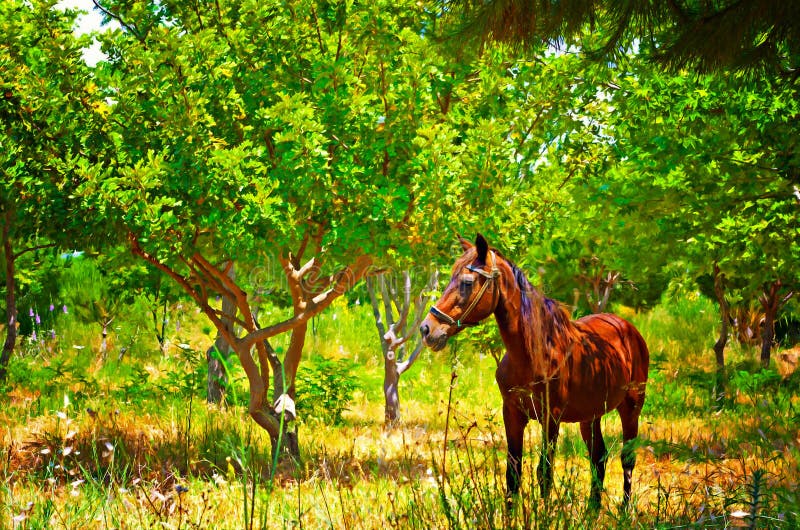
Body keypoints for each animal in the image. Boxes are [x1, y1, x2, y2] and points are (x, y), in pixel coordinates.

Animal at [418, 233, 648, 506]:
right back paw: (592, 510)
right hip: (590, 417)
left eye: (466, 282)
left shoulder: (551, 418)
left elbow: (544, 472)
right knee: (599, 459)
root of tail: (629, 329)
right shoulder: (512, 414)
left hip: (631, 407)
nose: (427, 329)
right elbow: (513, 474)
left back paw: (624, 510)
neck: (532, 352)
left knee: (627, 459)